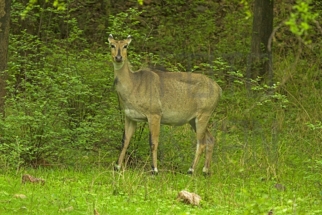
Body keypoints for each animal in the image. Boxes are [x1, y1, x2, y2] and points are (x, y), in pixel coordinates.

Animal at [108, 34, 221, 175]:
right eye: (112, 45)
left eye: (125, 46)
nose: (118, 57)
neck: (133, 85)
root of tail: (219, 89)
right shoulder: (130, 116)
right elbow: (125, 141)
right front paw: (117, 167)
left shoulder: (155, 113)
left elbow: (153, 142)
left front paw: (154, 170)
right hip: (194, 119)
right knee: (210, 139)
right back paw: (205, 171)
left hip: (204, 113)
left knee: (201, 143)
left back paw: (191, 170)